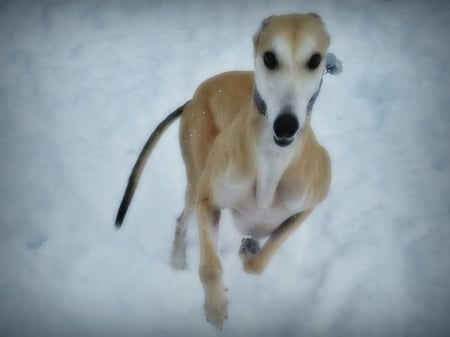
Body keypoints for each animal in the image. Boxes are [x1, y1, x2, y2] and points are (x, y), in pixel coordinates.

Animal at [116, 13, 334, 328]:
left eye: (315, 60)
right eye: (269, 58)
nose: (286, 126)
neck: (270, 162)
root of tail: (194, 96)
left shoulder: (305, 207)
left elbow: (259, 263)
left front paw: (250, 250)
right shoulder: (209, 203)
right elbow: (209, 267)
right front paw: (216, 306)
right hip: (196, 176)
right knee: (182, 218)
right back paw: (178, 259)